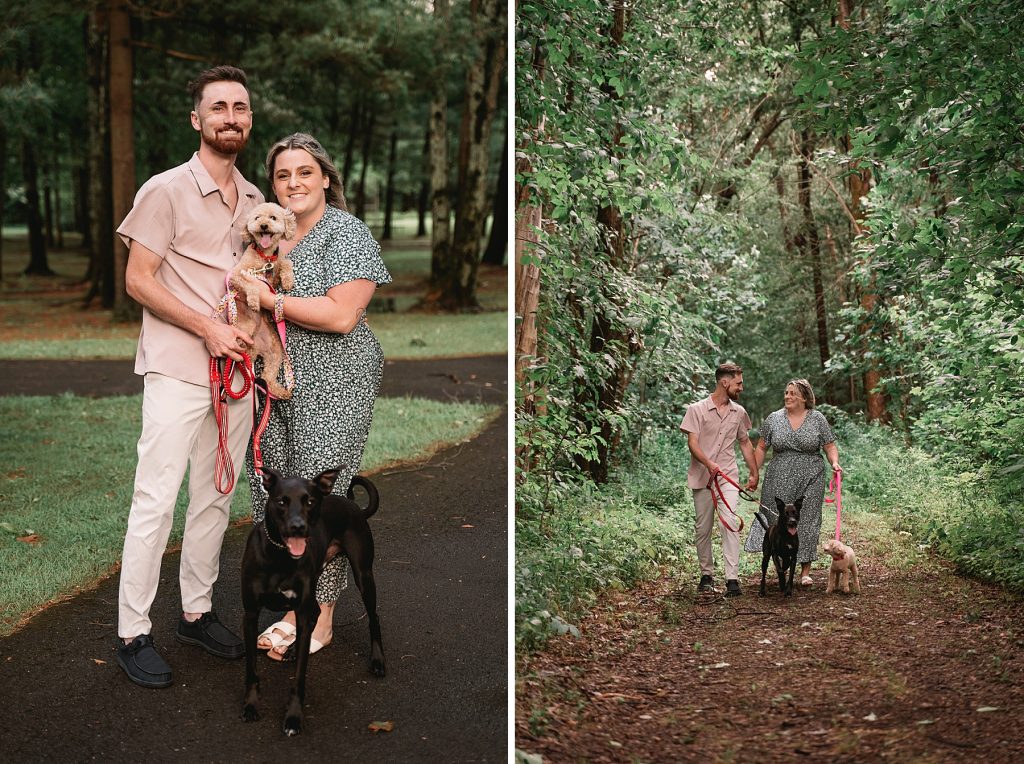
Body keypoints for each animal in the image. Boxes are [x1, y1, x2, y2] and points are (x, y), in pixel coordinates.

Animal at [239, 464, 385, 733]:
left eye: (310, 501)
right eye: (281, 501)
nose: (298, 527)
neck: (279, 555)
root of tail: (351, 504)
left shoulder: (301, 611)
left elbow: (299, 677)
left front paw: (293, 716)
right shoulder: (251, 615)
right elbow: (251, 671)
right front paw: (251, 705)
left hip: (363, 575)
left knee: (373, 617)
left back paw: (378, 661)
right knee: (317, 610)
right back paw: (293, 649)